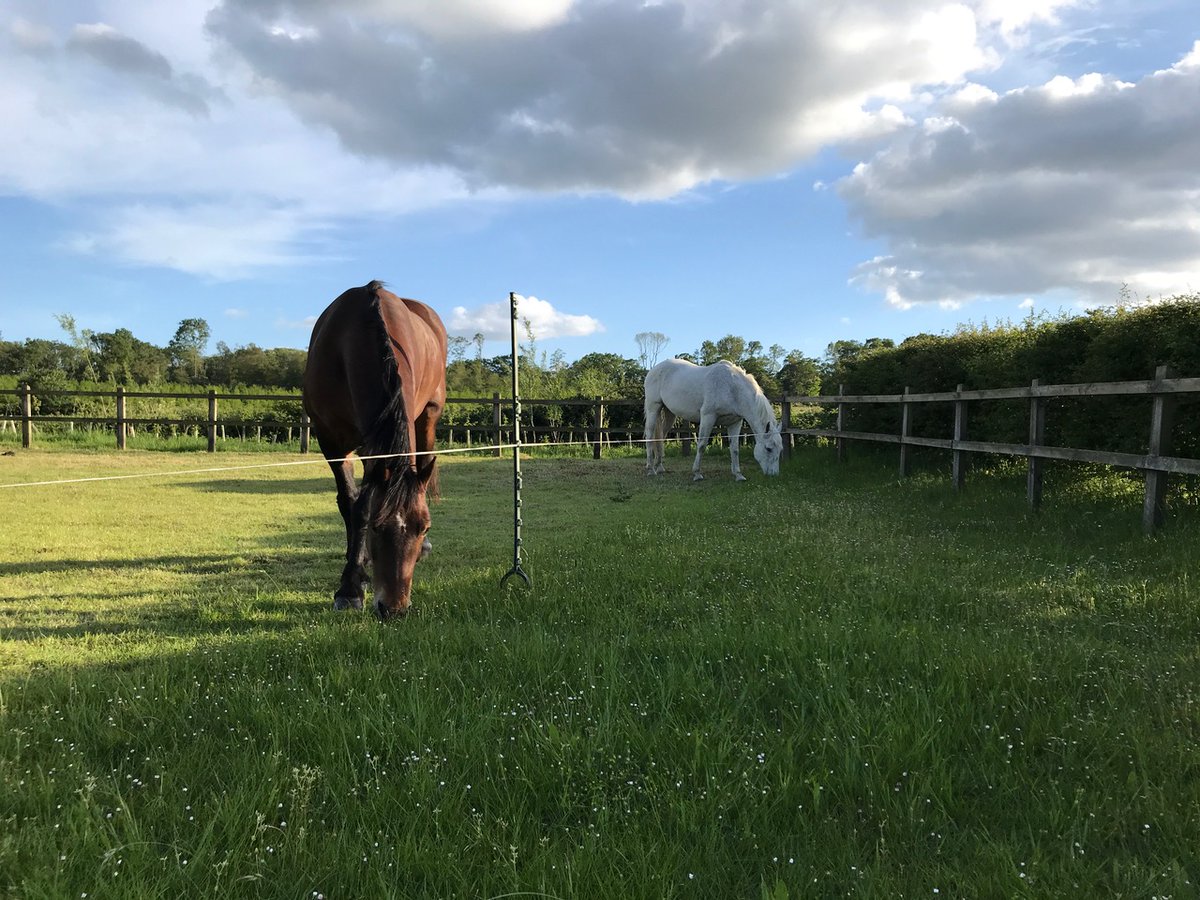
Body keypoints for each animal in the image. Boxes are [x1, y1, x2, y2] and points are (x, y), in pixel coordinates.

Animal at [302, 280, 447, 619]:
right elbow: (353, 505)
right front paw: (351, 586)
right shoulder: (331, 441)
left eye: (424, 527)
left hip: (429, 416)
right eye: (379, 529)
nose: (394, 609)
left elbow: (362, 504)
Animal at [644, 358, 783, 481]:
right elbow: (702, 445)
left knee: (661, 437)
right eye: (769, 449)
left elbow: (734, 449)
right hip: (653, 408)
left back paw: (660, 467)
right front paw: (697, 473)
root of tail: (653, 370)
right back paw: (651, 469)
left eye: (780, 450)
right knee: (650, 436)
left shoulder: (735, 422)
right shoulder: (708, 416)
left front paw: (738, 475)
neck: (732, 388)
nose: (773, 475)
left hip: (669, 413)